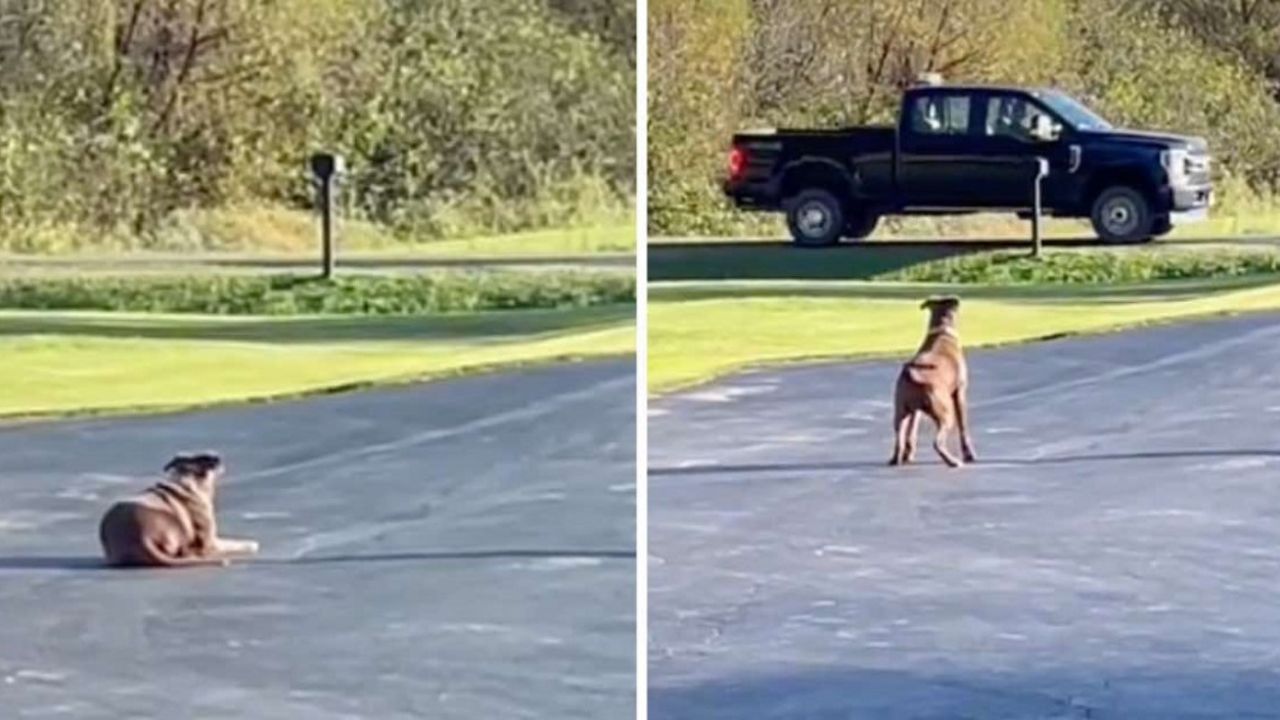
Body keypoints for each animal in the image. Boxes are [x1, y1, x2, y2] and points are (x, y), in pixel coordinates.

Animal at [96, 448, 257, 566]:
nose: (218, 457)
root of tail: (141, 539)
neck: (189, 481)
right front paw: (250, 544)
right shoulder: (211, 542)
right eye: (207, 459)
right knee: (188, 551)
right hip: (176, 523)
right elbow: (234, 543)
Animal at [890, 295, 977, 468]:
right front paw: (969, 454)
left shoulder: (914, 411)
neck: (941, 330)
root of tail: (912, 373)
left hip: (900, 411)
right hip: (945, 413)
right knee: (937, 443)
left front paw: (908, 454)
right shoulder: (959, 393)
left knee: (899, 436)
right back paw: (952, 461)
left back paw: (896, 458)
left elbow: (911, 431)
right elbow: (963, 427)